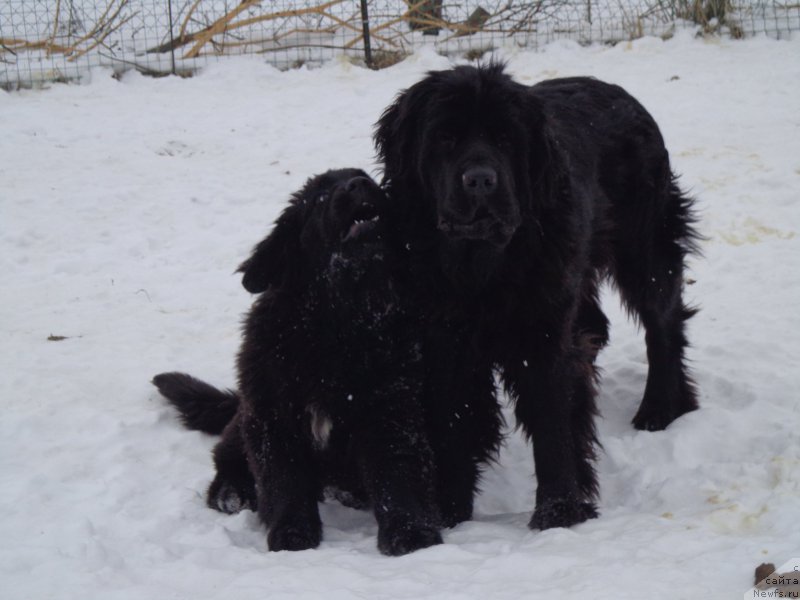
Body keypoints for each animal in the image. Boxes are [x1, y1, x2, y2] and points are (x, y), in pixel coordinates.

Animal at [154, 168, 476, 552]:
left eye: (364, 176)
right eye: (318, 197)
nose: (359, 184)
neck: (341, 317)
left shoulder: (390, 412)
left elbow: (397, 477)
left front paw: (411, 535)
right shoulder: (273, 416)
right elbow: (285, 481)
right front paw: (292, 534)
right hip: (248, 413)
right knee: (226, 455)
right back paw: (231, 492)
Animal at [376, 64, 700, 528]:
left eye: (506, 139)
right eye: (445, 137)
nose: (480, 181)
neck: (481, 264)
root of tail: (621, 93)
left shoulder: (540, 334)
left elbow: (552, 419)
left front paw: (560, 509)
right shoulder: (443, 340)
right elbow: (452, 421)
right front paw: (452, 512)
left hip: (644, 242)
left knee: (664, 323)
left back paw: (660, 407)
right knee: (596, 328)